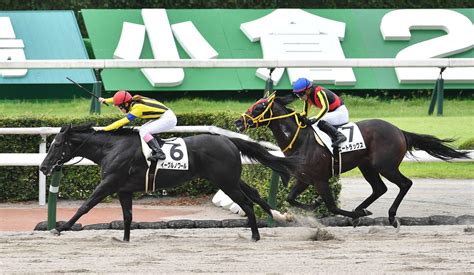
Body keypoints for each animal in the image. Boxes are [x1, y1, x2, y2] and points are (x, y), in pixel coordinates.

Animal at [40, 124, 298, 242]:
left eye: (57, 145)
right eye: (50, 144)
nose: (43, 167)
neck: (112, 149)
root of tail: (229, 141)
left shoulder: (108, 184)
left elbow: (84, 207)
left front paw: (60, 228)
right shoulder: (123, 189)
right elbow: (127, 216)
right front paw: (125, 239)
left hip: (226, 182)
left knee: (246, 204)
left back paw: (255, 235)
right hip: (230, 179)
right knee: (253, 193)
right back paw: (280, 217)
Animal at [235, 94, 468, 229]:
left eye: (259, 107)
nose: (238, 121)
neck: (301, 140)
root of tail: (399, 131)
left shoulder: (320, 179)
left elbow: (331, 206)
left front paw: (341, 210)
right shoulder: (304, 178)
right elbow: (291, 199)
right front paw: (314, 205)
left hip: (385, 165)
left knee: (405, 183)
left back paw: (391, 217)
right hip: (367, 166)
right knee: (379, 188)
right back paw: (362, 210)